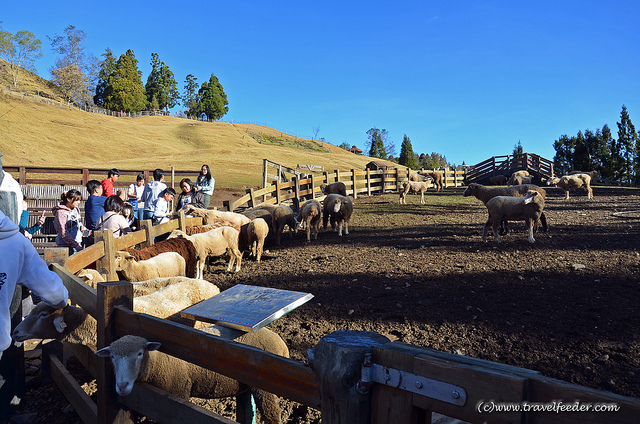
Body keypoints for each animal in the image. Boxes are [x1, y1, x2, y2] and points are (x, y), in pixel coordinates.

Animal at [94, 330, 288, 424]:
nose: (122, 386)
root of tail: (279, 340)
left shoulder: (179, 392)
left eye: (140, 353)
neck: (159, 360)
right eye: (112, 357)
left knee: (272, 414)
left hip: (265, 388)